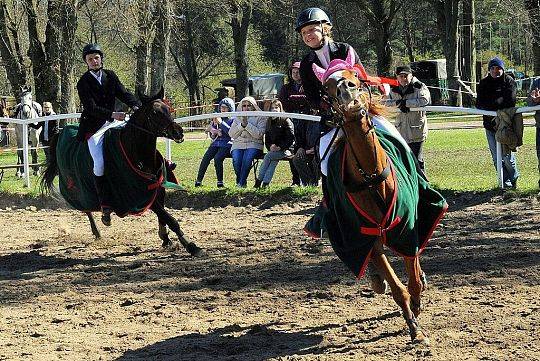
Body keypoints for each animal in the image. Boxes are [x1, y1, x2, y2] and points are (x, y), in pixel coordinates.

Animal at [41, 89, 204, 256]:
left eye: (168, 109)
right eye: (154, 113)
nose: (178, 132)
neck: (138, 154)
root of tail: (61, 133)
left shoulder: (158, 189)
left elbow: (163, 216)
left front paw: (165, 238)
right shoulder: (141, 196)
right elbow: (169, 218)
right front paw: (191, 246)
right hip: (78, 189)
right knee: (86, 209)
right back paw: (98, 230)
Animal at [310, 50, 450, 344]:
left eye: (354, 75)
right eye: (327, 87)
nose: (346, 89)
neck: (371, 177)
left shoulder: (407, 229)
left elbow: (413, 277)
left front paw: (417, 303)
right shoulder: (367, 237)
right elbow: (397, 287)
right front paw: (414, 326)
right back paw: (377, 280)